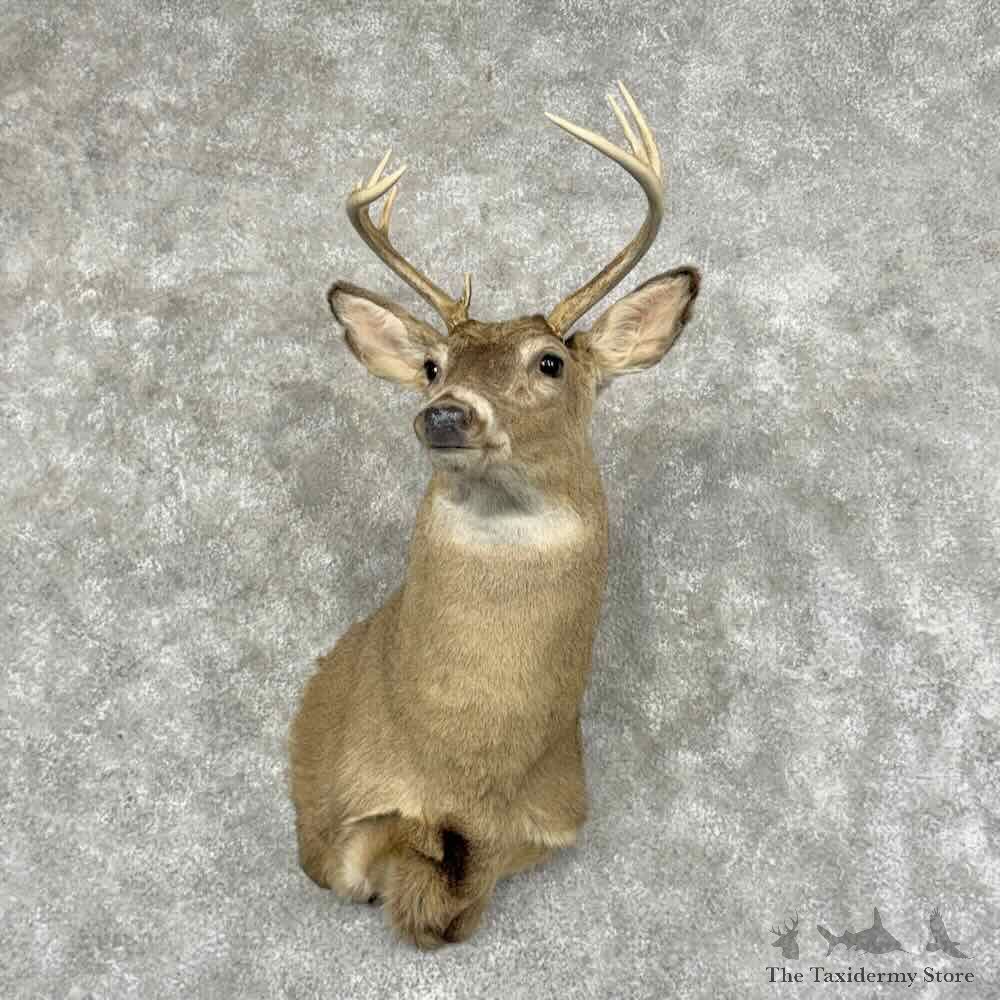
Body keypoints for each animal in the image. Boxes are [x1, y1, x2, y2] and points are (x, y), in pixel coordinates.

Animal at [289, 82, 700, 949]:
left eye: (550, 362)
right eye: (431, 365)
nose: (445, 412)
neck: (466, 776)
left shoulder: (553, 821)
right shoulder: (337, 821)